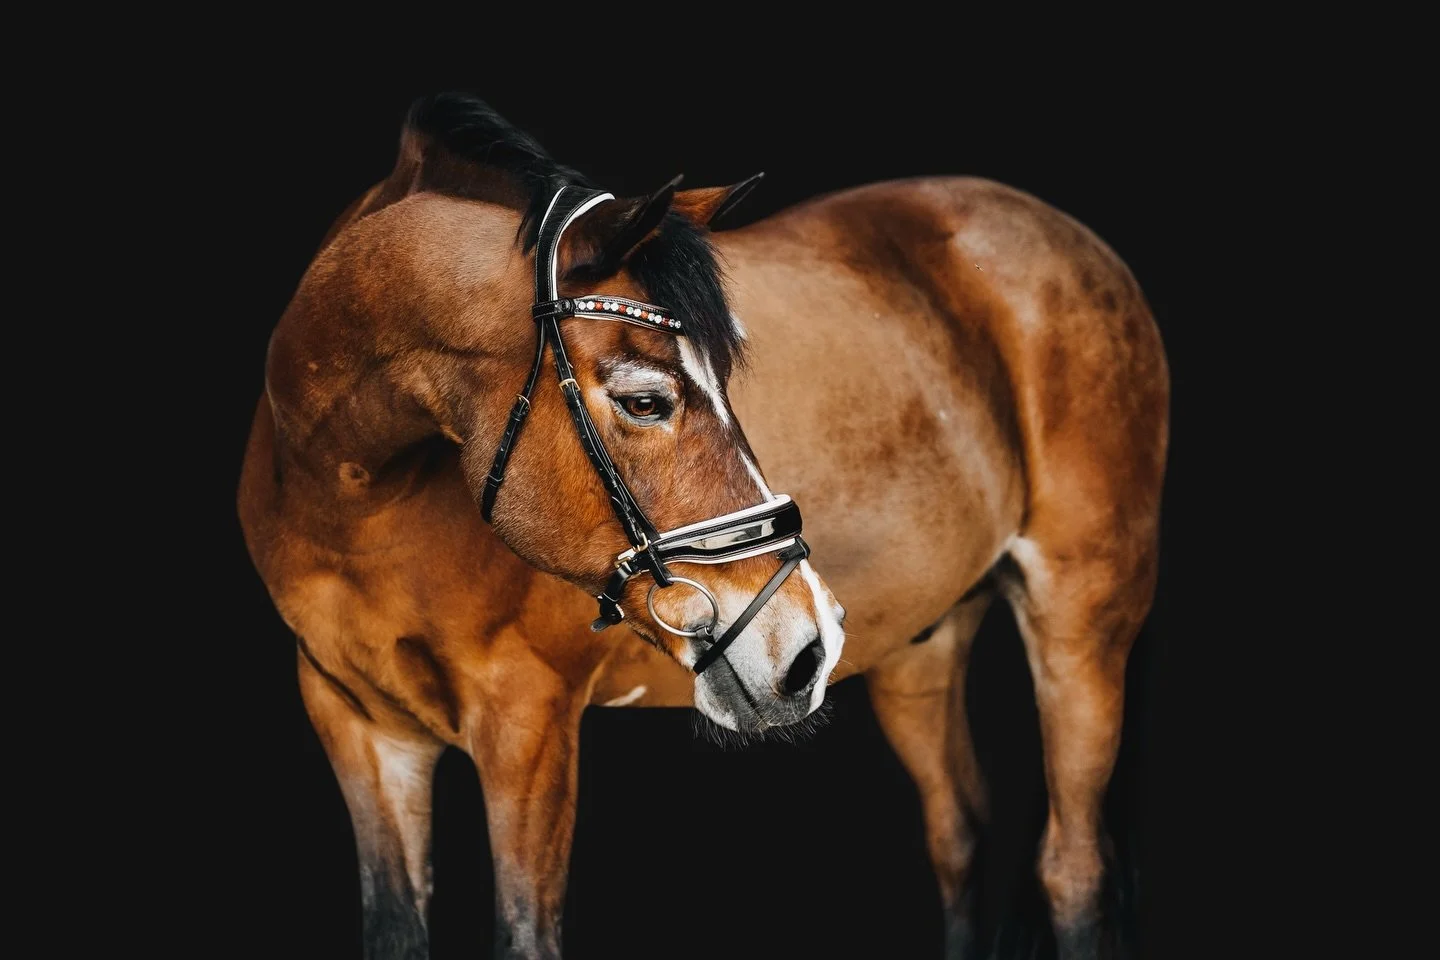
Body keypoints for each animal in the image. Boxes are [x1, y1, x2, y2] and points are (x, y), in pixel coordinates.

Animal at [238, 92, 1168, 960]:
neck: (358, 502)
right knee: (960, 839)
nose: (809, 645)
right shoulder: (358, 725)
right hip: (923, 646)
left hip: (1083, 622)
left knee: (1073, 867)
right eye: (647, 400)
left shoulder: (528, 724)